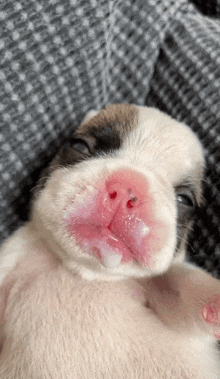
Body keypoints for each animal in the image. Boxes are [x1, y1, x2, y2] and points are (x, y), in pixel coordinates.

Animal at [0, 104, 219, 379]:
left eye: (184, 199)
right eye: (80, 145)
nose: (127, 187)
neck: (83, 272)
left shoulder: (161, 290)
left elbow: (182, 286)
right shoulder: (12, 260)